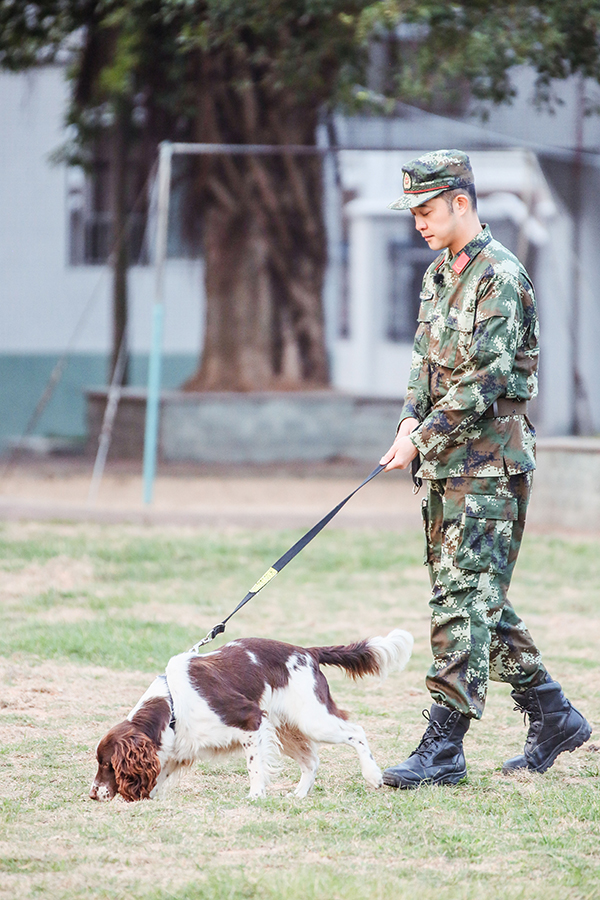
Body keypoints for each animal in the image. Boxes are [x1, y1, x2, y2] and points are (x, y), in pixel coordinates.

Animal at [90, 632, 412, 800]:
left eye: (106, 764)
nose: (92, 794)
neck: (171, 705)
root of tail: (308, 652)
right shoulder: (180, 746)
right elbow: (160, 774)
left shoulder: (250, 719)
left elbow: (254, 765)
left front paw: (256, 796)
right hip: (288, 728)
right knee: (312, 760)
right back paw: (299, 795)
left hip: (312, 719)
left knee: (356, 731)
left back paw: (373, 775)